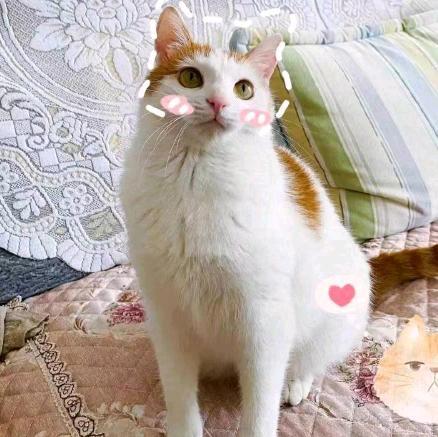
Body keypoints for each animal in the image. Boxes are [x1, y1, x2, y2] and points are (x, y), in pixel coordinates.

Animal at [120, 6, 438, 437]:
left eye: (243, 89)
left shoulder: (265, 320)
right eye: (191, 78)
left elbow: (260, 403)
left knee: (309, 361)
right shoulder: (167, 314)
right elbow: (180, 395)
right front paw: (182, 423)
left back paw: (295, 383)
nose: (218, 102)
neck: (198, 180)